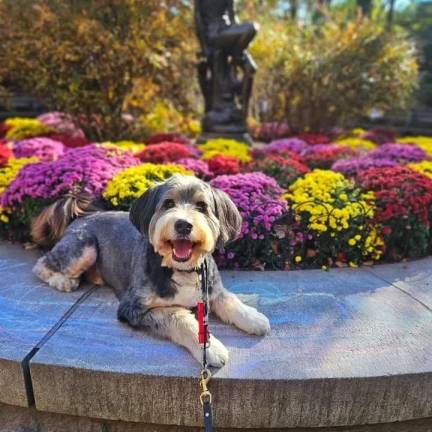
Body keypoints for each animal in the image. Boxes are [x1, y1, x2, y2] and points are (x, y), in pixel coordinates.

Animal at [31, 174, 270, 366]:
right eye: (168, 203)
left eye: (202, 206)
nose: (183, 225)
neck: (181, 270)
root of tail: (81, 217)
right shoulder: (133, 308)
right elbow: (178, 316)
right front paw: (211, 349)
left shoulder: (212, 288)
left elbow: (229, 299)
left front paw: (253, 318)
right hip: (85, 246)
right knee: (41, 264)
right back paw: (63, 280)